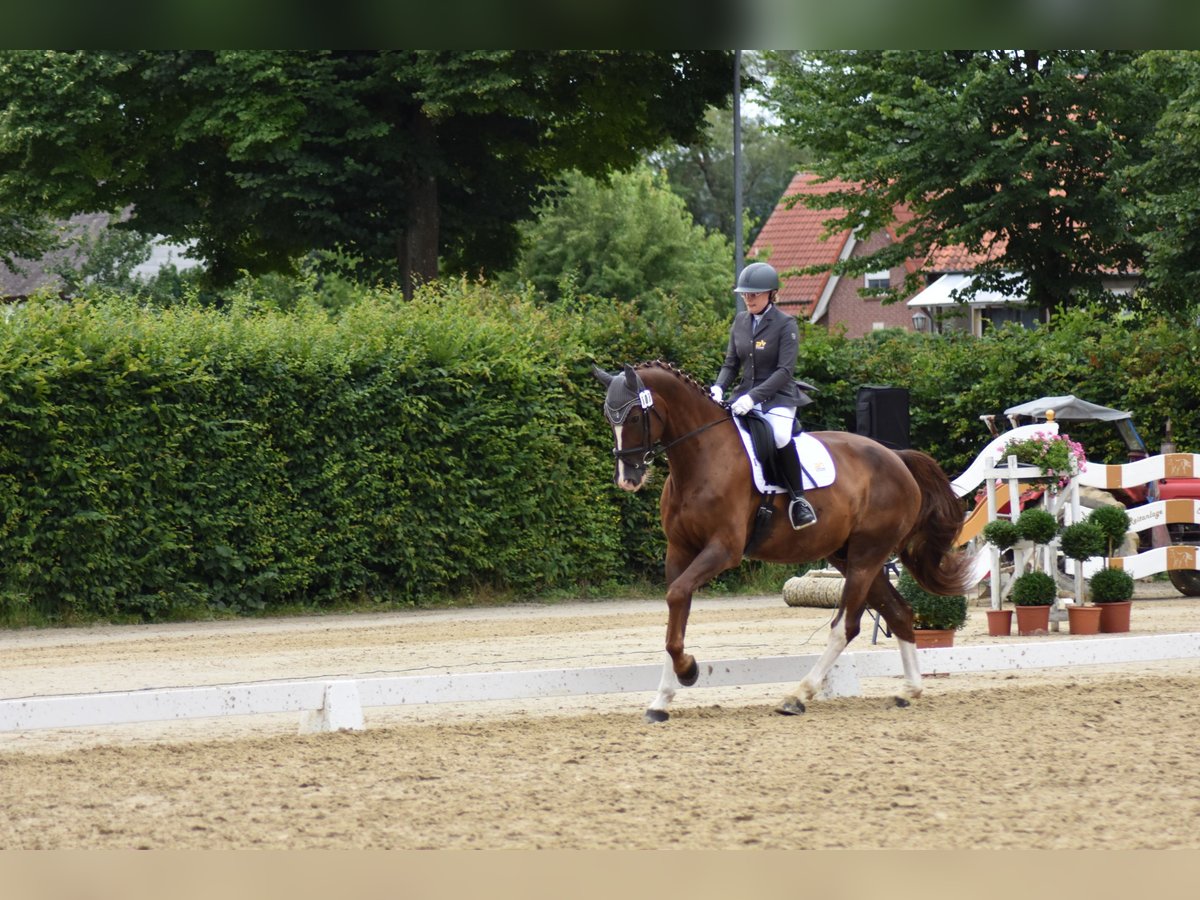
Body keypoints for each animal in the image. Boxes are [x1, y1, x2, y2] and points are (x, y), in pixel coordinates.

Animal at [592, 362, 974, 724]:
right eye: (608, 417)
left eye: (636, 416)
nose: (627, 479)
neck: (700, 457)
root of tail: (898, 459)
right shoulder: (679, 550)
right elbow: (677, 610)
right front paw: (661, 701)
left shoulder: (723, 550)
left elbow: (677, 597)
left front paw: (688, 671)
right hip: (851, 557)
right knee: (899, 612)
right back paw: (908, 691)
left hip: (867, 556)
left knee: (845, 626)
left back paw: (797, 696)